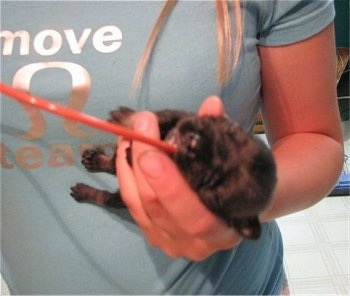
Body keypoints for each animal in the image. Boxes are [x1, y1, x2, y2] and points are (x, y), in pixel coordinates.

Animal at [70, 107, 276, 239]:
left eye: (212, 183)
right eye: (230, 131)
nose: (194, 141)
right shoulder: (180, 116)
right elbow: (157, 116)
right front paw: (125, 116)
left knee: (108, 190)